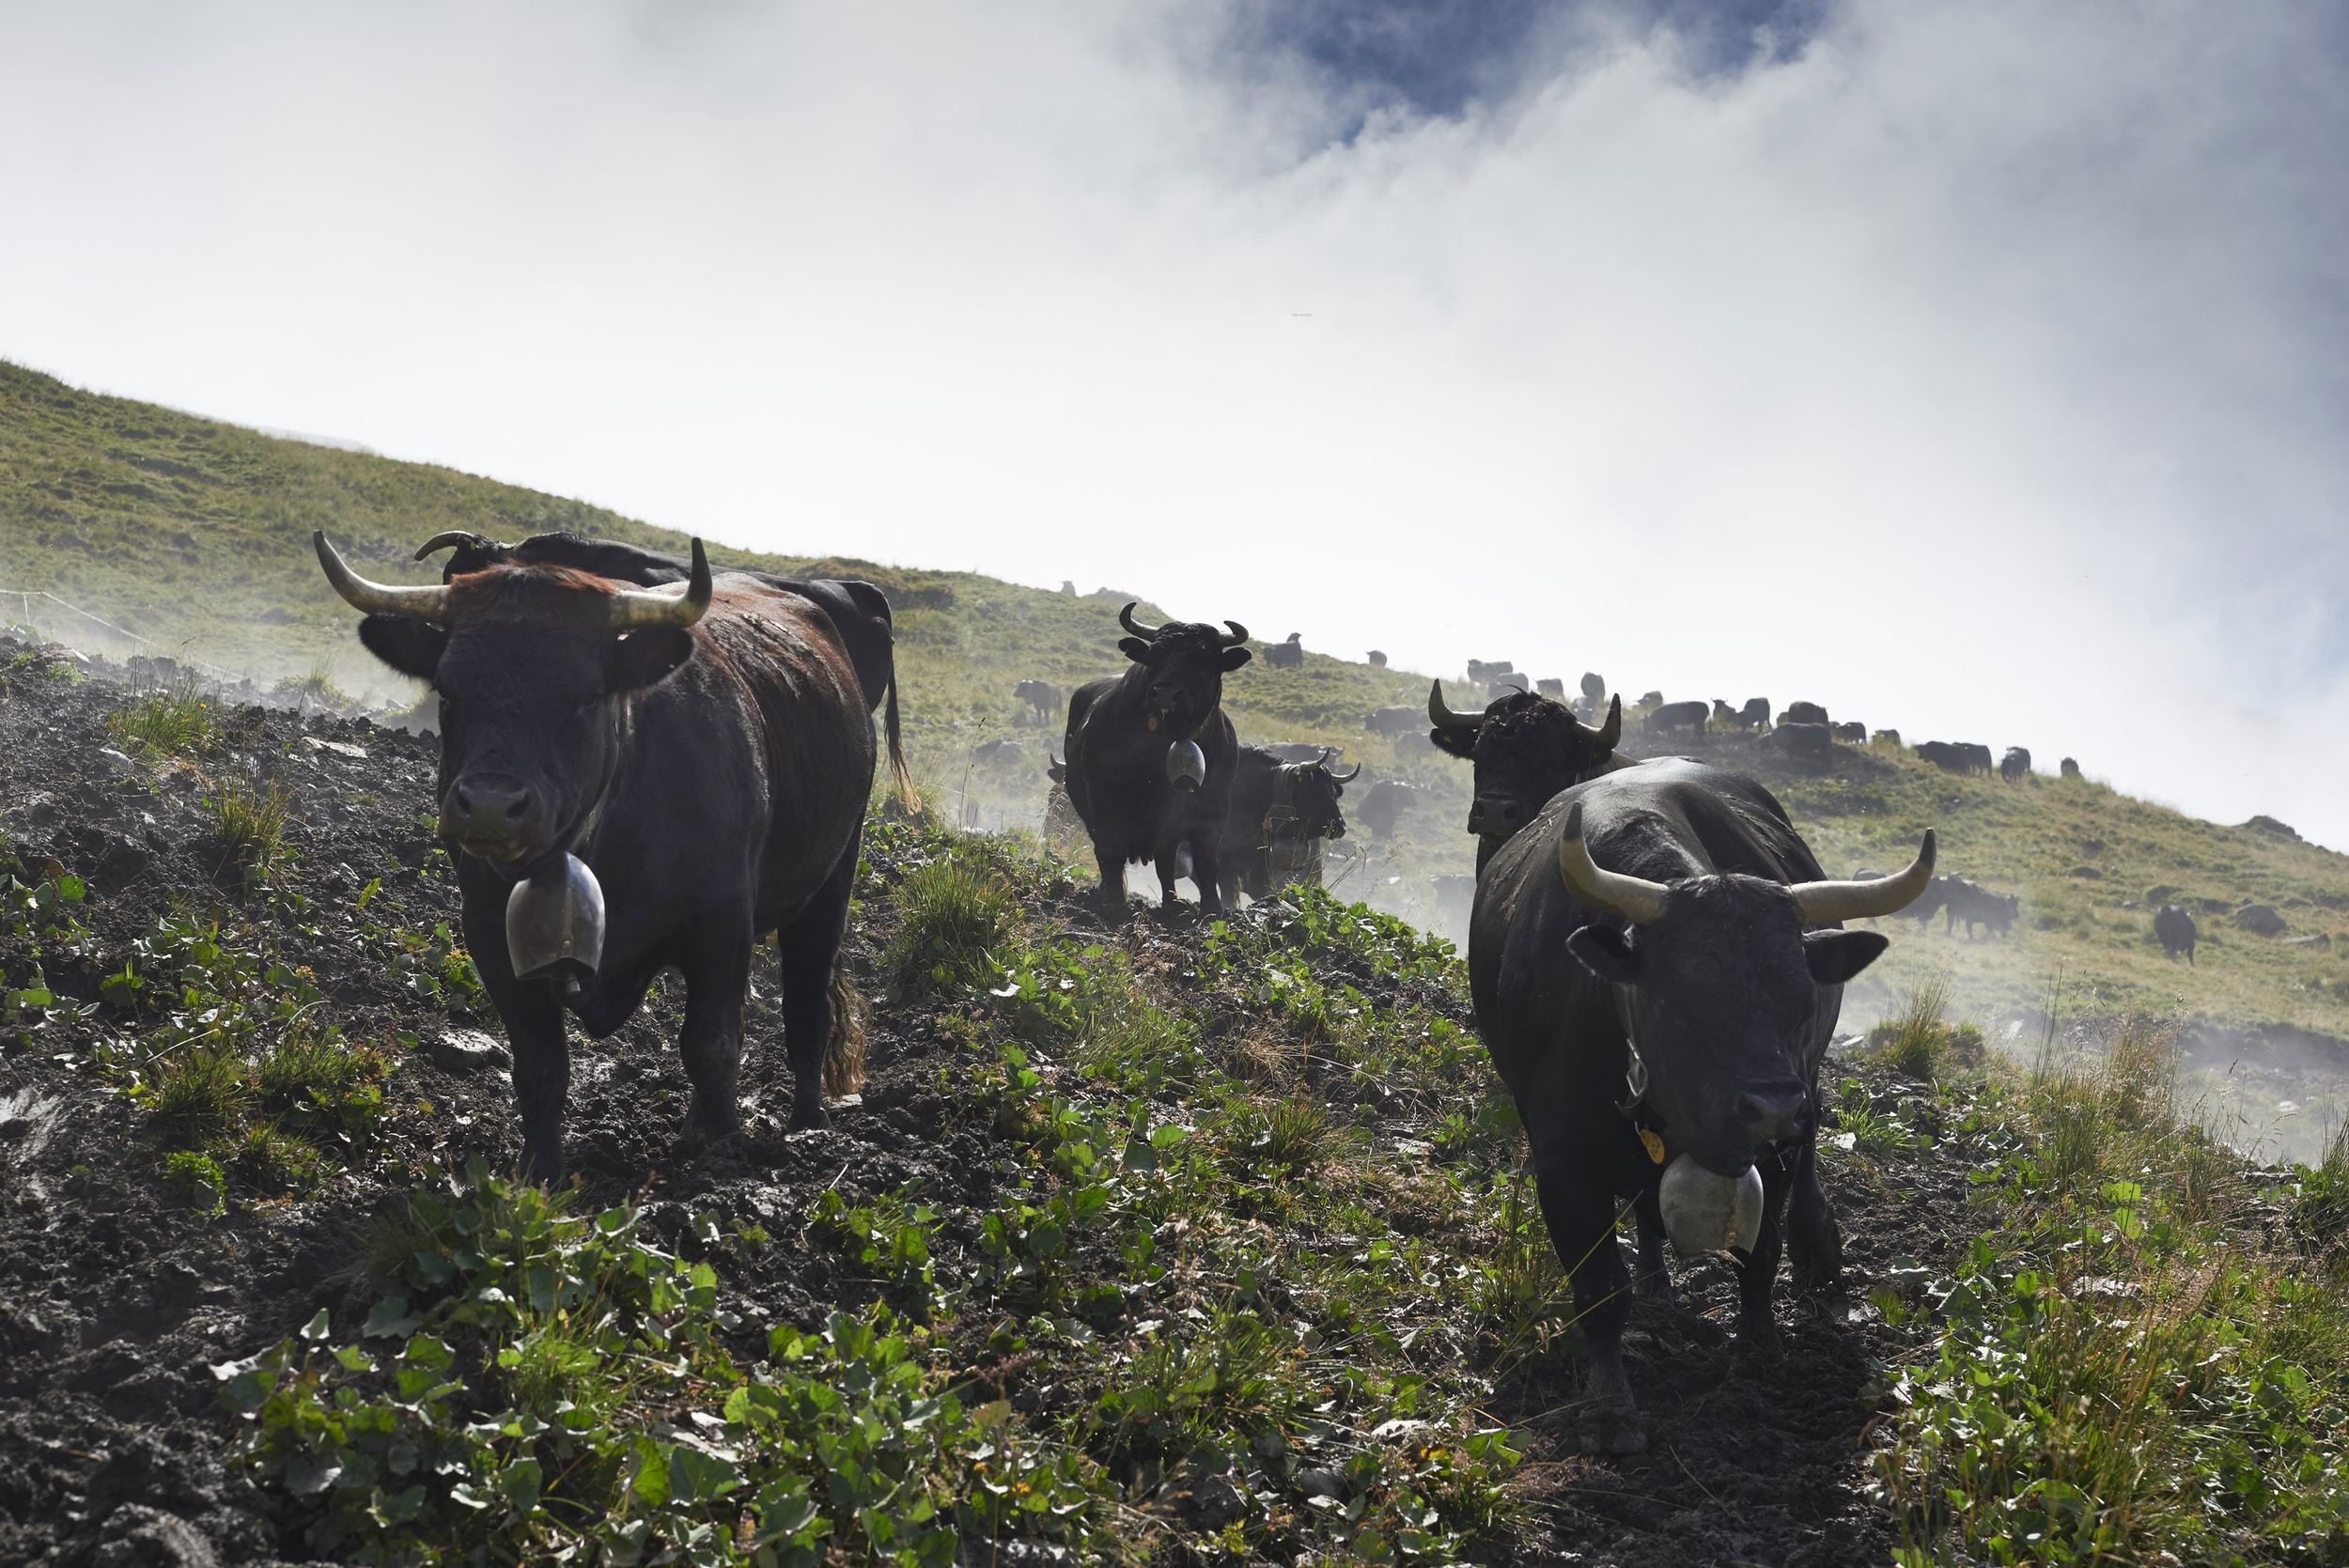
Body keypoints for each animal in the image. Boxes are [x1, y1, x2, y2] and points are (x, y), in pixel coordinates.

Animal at [319, 525, 916, 1173]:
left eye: (587, 696)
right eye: (448, 692)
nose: (490, 805)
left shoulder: (722, 921)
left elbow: (711, 1046)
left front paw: (721, 1154)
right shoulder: (489, 934)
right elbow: (540, 1067)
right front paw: (540, 1171)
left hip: (832, 877)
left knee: (806, 1003)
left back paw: (808, 1123)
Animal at [1062, 605, 1250, 920]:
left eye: (1202, 659)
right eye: (1155, 655)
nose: (1164, 693)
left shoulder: (1212, 810)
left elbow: (1202, 862)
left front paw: (1207, 908)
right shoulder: (1104, 796)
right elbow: (1111, 850)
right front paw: (1115, 901)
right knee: (1106, 853)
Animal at [1466, 765, 1945, 1455]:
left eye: (1802, 998)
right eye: (1680, 1001)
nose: (1773, 1107)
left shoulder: (1774, 1148)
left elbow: (1760, 1254)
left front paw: (1760, 1356)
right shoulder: (1561, 1161)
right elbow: (1599, 1288)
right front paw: (1610, 1407)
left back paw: (1818, 1251)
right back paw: (1656, 1283)